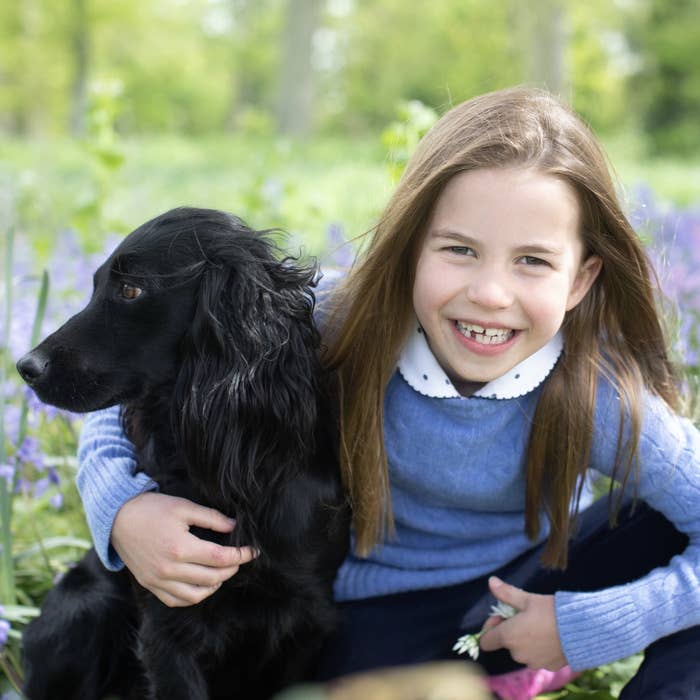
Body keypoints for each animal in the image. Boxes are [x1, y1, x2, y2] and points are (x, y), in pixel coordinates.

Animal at [17, 208, 350, 700]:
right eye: (95, 283)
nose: (25, 366)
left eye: (131, 289)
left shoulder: (309, 620)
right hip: (84, 604)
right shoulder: (168, 623)